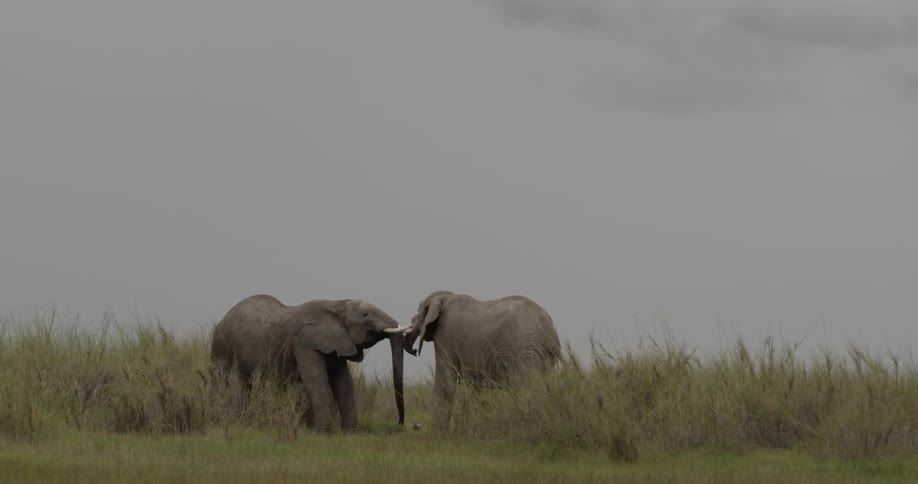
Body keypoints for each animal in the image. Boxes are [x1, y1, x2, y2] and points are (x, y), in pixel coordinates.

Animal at [210, 294, 413, 433]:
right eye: (365, 314)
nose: (400, 423)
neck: (336, 304)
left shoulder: (336, 342)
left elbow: (344, 382)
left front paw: (350, 433)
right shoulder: (302, 343)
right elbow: (316, 380)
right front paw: (324, 433)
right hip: (225, 349)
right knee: (236, 385)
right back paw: (239, 424)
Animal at [404, 290, 561, 428]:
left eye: (418, 310)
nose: (413, 350)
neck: (446, 296)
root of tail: (548, 327)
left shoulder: (444, 335)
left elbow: (445, 383)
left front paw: (439, 434)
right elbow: (473, 388)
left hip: (525, 350)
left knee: (527, 390)